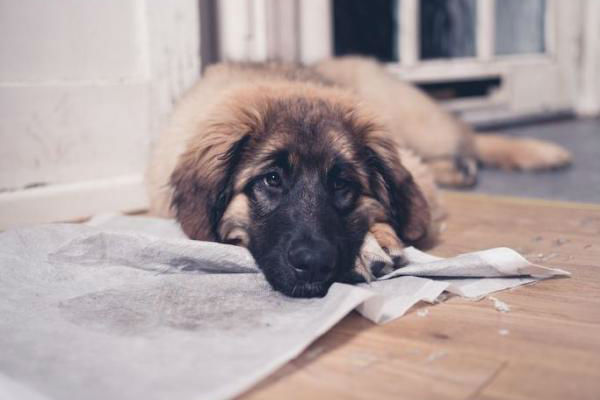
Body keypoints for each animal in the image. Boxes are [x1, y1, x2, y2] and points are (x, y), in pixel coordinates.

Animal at [146, 57, 572, 298]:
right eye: (271, 180)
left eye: (342, 184)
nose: (314, 265)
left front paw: (373, 242)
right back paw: (461, 169)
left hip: (419, 123)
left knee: (468, 136)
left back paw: (539, 152)